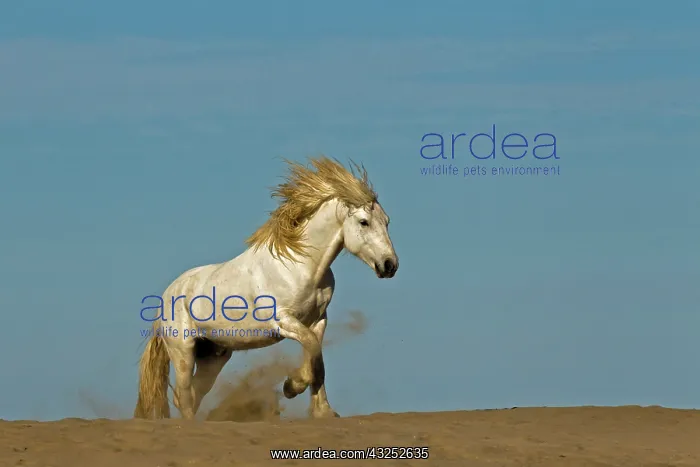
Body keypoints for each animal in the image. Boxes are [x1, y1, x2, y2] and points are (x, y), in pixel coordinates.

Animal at [133, 156, 399, 420]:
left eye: (386, 222)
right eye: (364, 222)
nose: (390, 265)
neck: (300, 266)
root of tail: (168, 293)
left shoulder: (318, 319)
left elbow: (317, 359)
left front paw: (323, 411)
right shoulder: (283, 320)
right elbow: (311, 347)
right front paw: (292, 387)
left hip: (214, 354)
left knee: (195, 392)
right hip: (183, 351)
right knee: (184, 395)